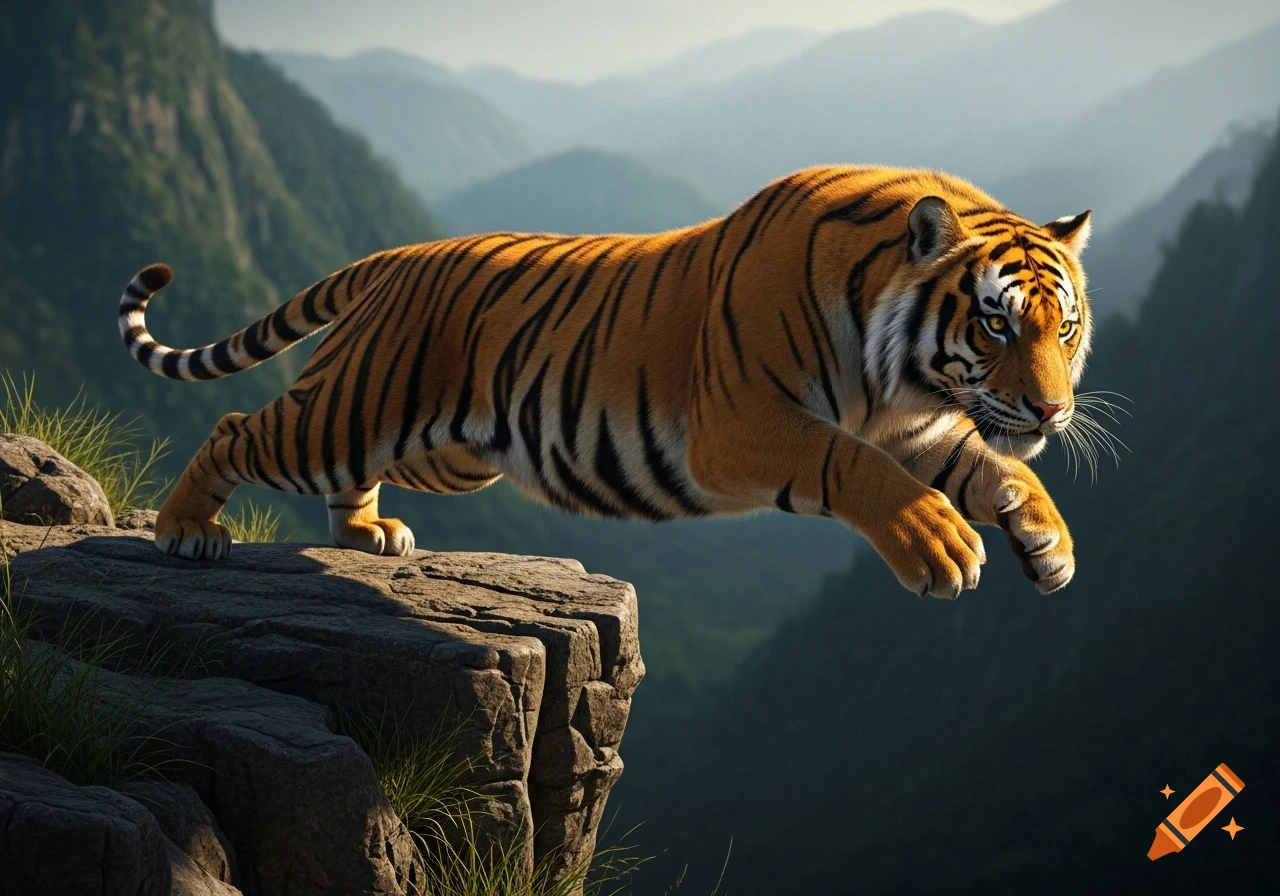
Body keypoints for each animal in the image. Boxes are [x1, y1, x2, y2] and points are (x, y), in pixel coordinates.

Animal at [117, 165, 1095, 599]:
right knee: (239, 427)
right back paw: (184, 531)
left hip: (438, 448)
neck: (902, 382)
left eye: (1064, 327)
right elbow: (850, 465)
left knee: (346, 474)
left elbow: (996, 467)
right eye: (996, 321)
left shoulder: (921, 428)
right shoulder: (743, 425)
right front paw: (941, 546)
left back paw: (367, 536)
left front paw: (1047, 541)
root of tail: (396, 256)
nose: (1052, 407)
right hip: (350, 413)